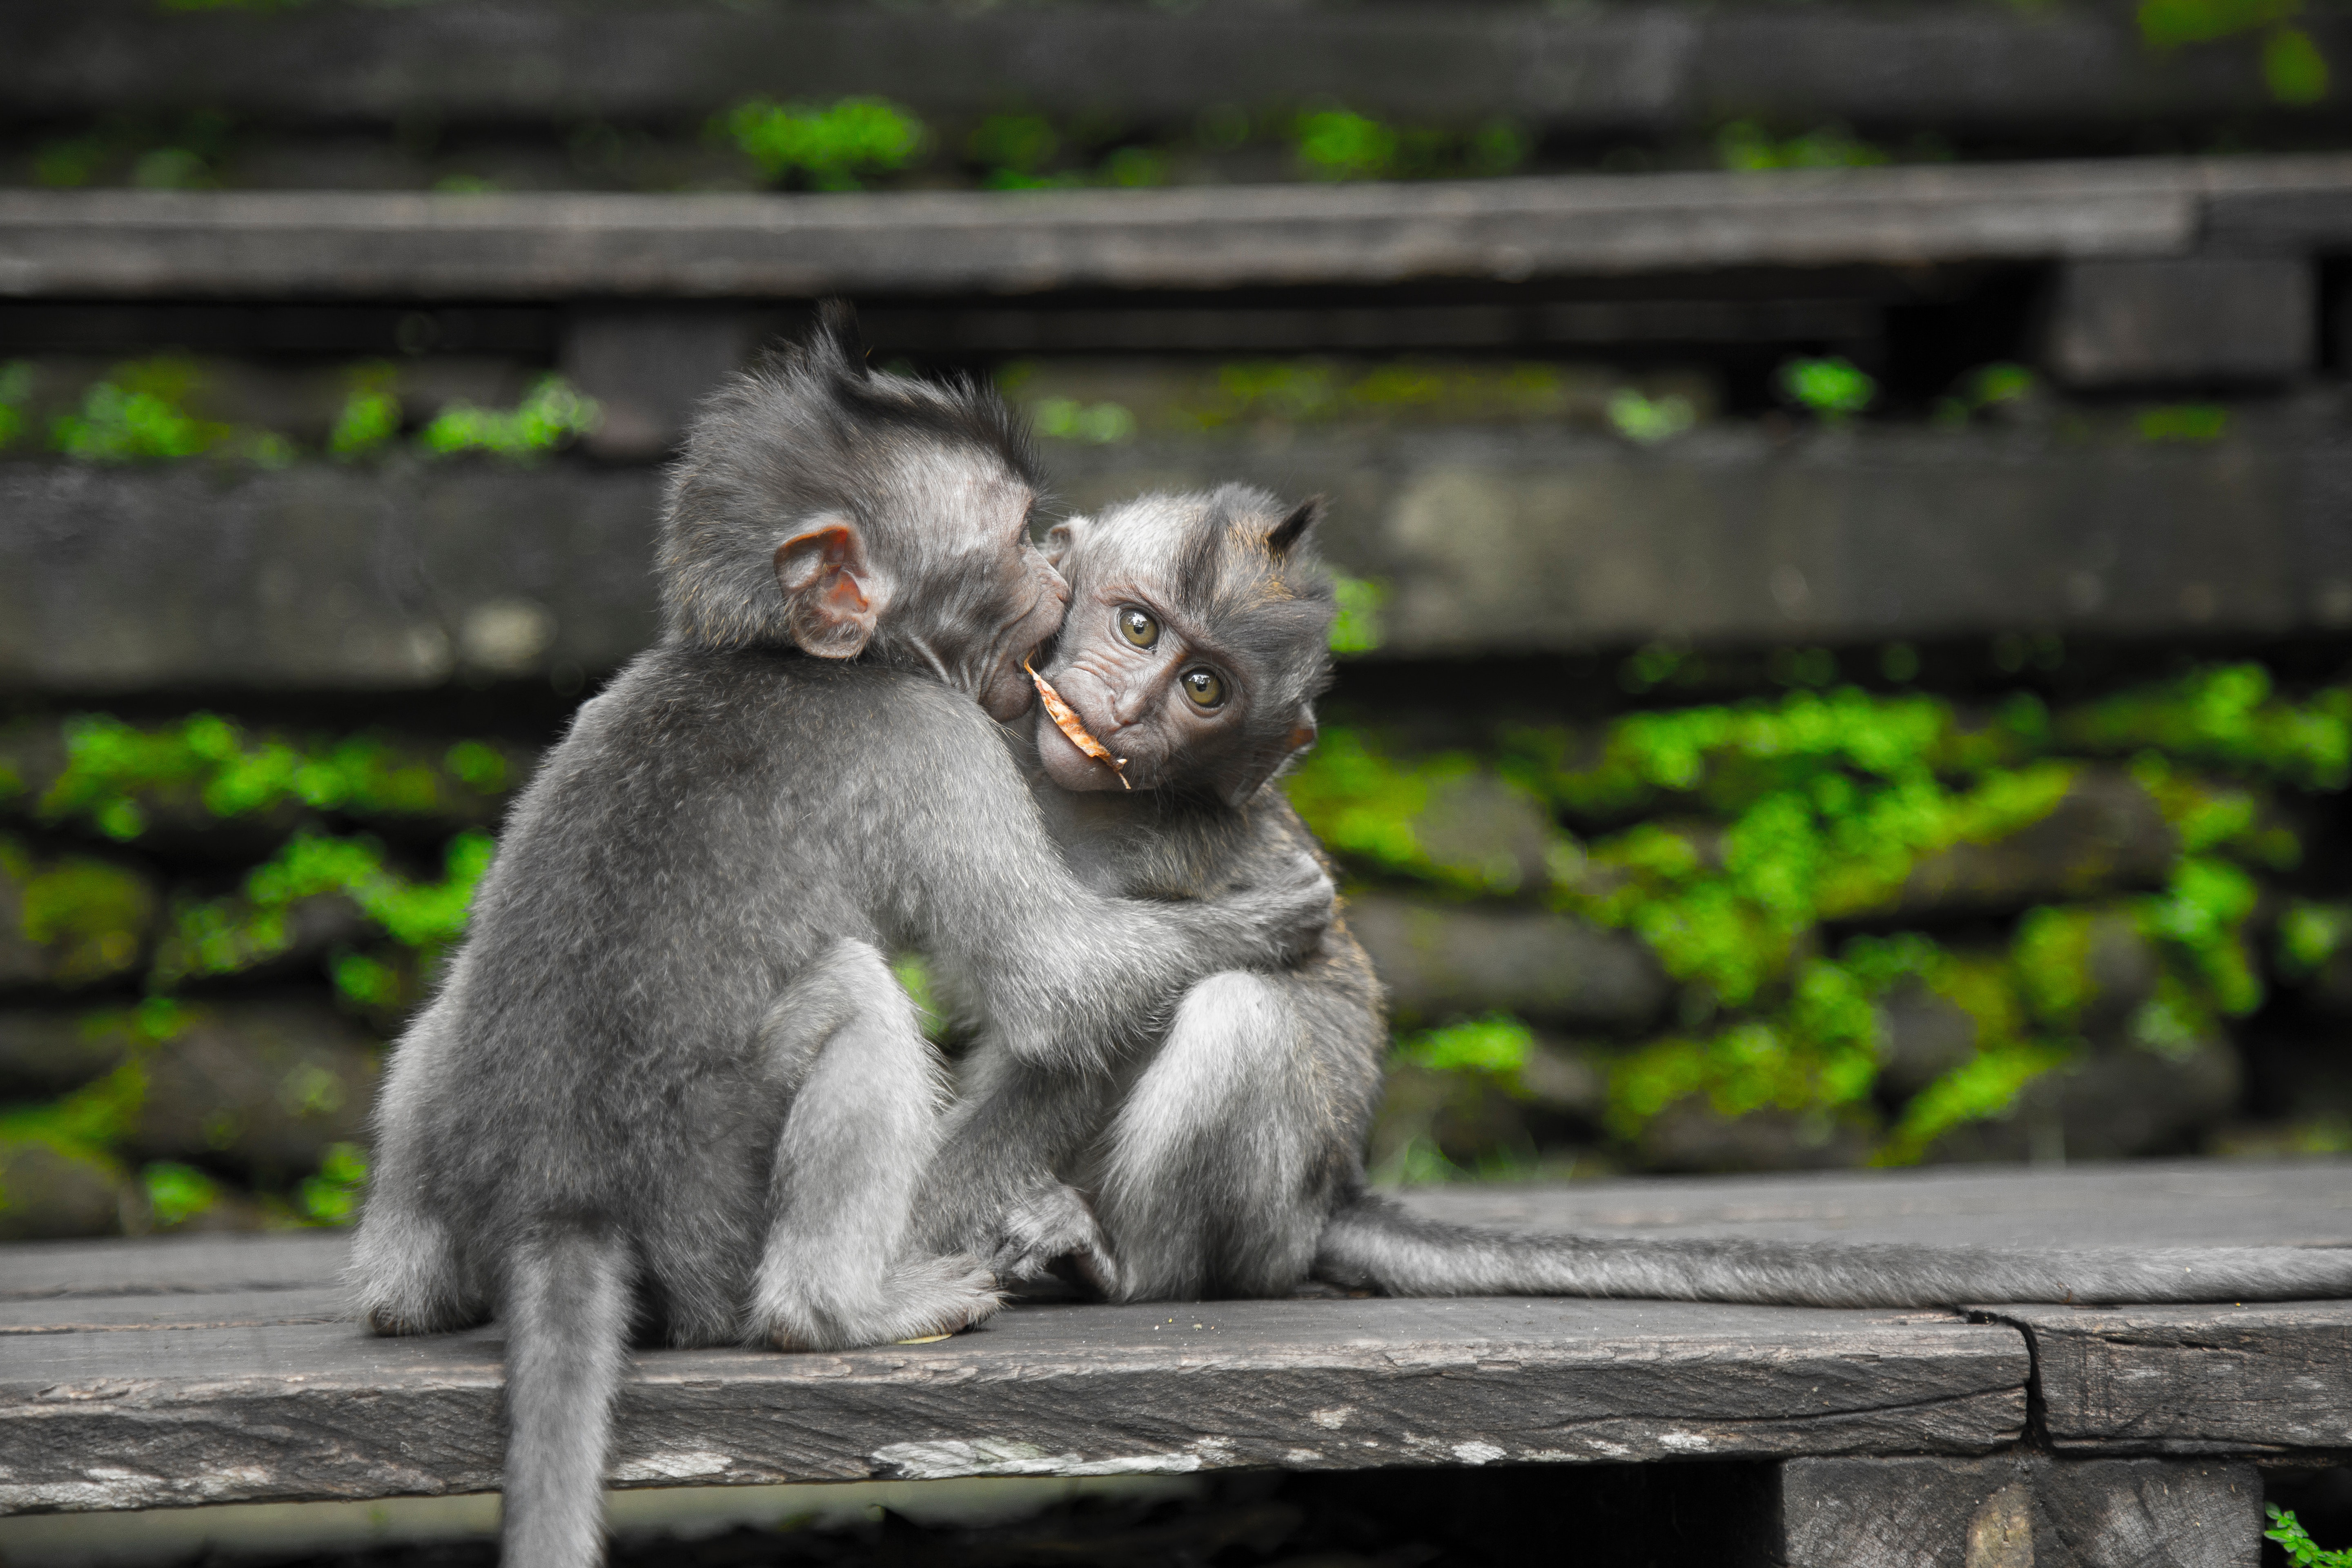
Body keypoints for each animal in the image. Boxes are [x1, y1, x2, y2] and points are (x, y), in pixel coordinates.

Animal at [350, 322, 1345, 1568]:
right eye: (1014, 542)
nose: (1057, 565)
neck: (784, 655)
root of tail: (559, 1203)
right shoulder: (935, 738)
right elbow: (1056, 985)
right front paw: (1272, 913)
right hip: (711, 1211)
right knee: (856, 1004)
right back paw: (843, 1308)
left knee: (449, 1008)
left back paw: (406, 1291)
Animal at [908, 486, 2352, 1316]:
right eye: (1139, 627)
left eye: (1206, 690)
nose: (1131, 709)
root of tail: (1336, 1191)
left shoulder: (1187, 849)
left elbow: (1095, 1023)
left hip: (1268, 1207)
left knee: (1240, 1018)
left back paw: (1129, 1268)